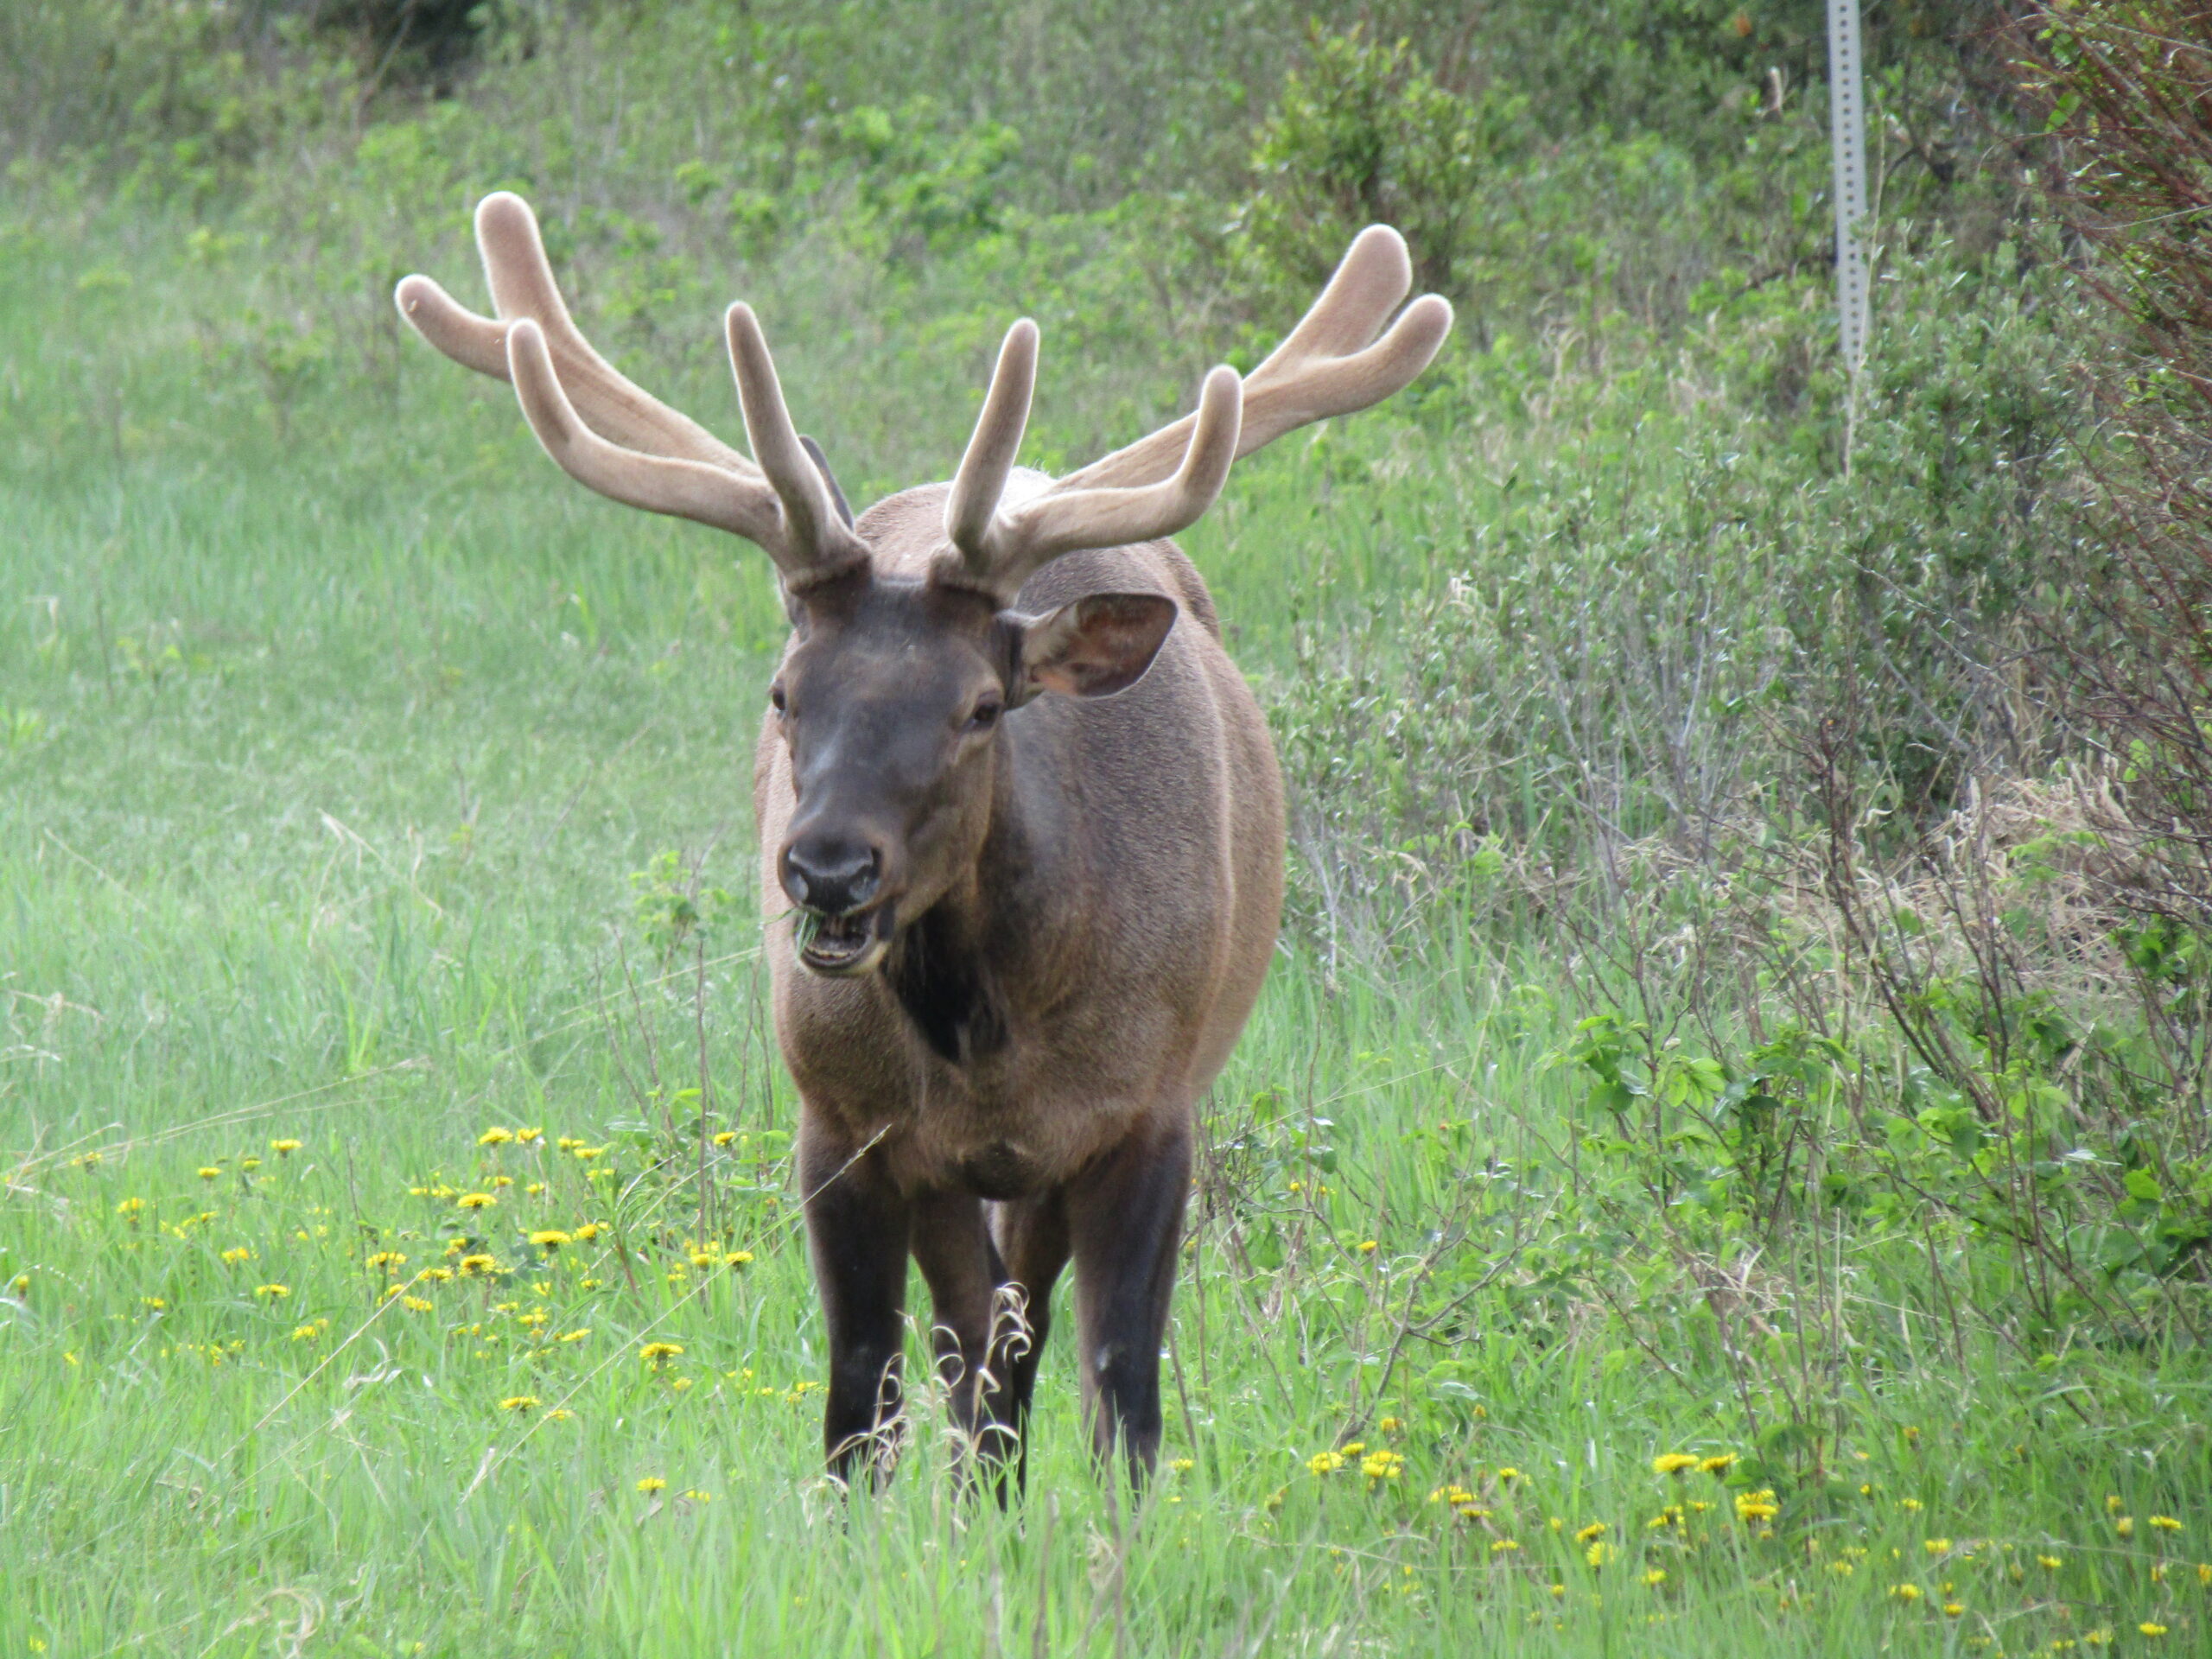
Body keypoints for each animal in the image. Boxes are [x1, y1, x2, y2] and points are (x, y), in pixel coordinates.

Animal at [393, 198, 1451, 1495]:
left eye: (980, 707)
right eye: (786, 691)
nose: (827, 870)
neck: (992, 1031)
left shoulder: (1149, 1113)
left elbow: (1123, 1401)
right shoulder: (846, 1125)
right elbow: (864, 1399)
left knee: (1015, 1328)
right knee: (975, 1341)